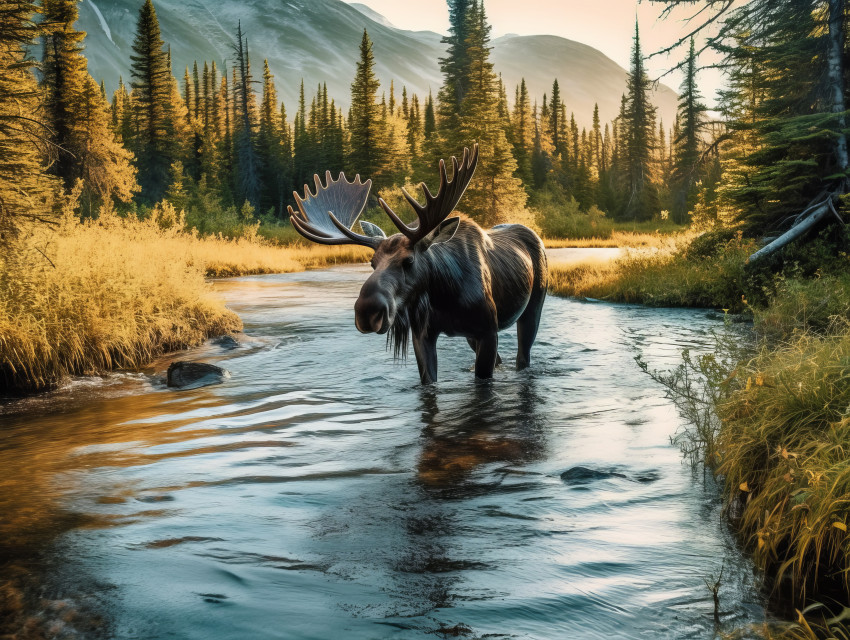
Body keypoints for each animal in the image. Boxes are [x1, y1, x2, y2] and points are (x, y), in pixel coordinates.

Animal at [287, 144, 548, 384]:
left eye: (409, 260)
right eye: (372, 263)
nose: (367, 311)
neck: (446, 295)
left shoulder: (487, 330)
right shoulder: (423, 335)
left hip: (532, 308)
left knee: (523, 357)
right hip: (471, 335)